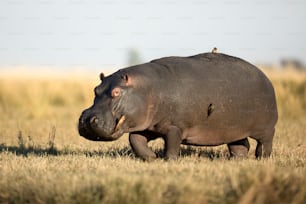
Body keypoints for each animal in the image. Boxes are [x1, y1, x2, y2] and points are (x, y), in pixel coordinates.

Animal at [78, 52, 278, 161]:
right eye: (96, 89)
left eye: (116, 92)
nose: (86, 120)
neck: (149, 89)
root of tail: (265, 76)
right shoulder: (150, 125)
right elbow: (135, 140)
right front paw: (151, 158)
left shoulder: (175, 127)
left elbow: (172, 145)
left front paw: (169, 160)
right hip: (234, 129)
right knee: (240, 144)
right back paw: (236, 159)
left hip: (265, 128)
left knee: (265, 142)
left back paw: (262, 158)